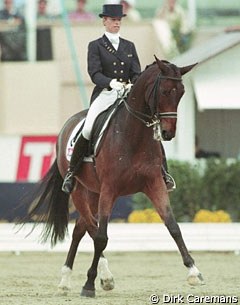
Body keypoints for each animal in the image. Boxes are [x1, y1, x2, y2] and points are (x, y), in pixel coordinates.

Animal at [22, 55, 202, 296]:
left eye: (181, 92)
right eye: (164, 91)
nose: (168, 133)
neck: (134, 135)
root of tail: (68, 124)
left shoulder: (155, 184)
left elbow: (173, 227)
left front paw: (193, 272)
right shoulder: (110, 188)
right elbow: (101, 236)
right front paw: (89, 284)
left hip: (93, 192)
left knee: (80, 228)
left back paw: (69, 279)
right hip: (80, 191)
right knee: (91, 227)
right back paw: (99, 277)